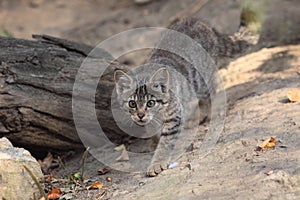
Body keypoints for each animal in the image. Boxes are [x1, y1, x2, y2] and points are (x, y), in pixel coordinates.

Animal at [113, 18, 247, 176]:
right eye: (132, 104)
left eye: (150, 103)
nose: (140, 115)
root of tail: (200, 23)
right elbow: (154, 132)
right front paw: (153, 143)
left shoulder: (173, 116)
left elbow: (165, 143)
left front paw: (157, 163)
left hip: (202, 80)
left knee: (210, 93)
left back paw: (204, 114)